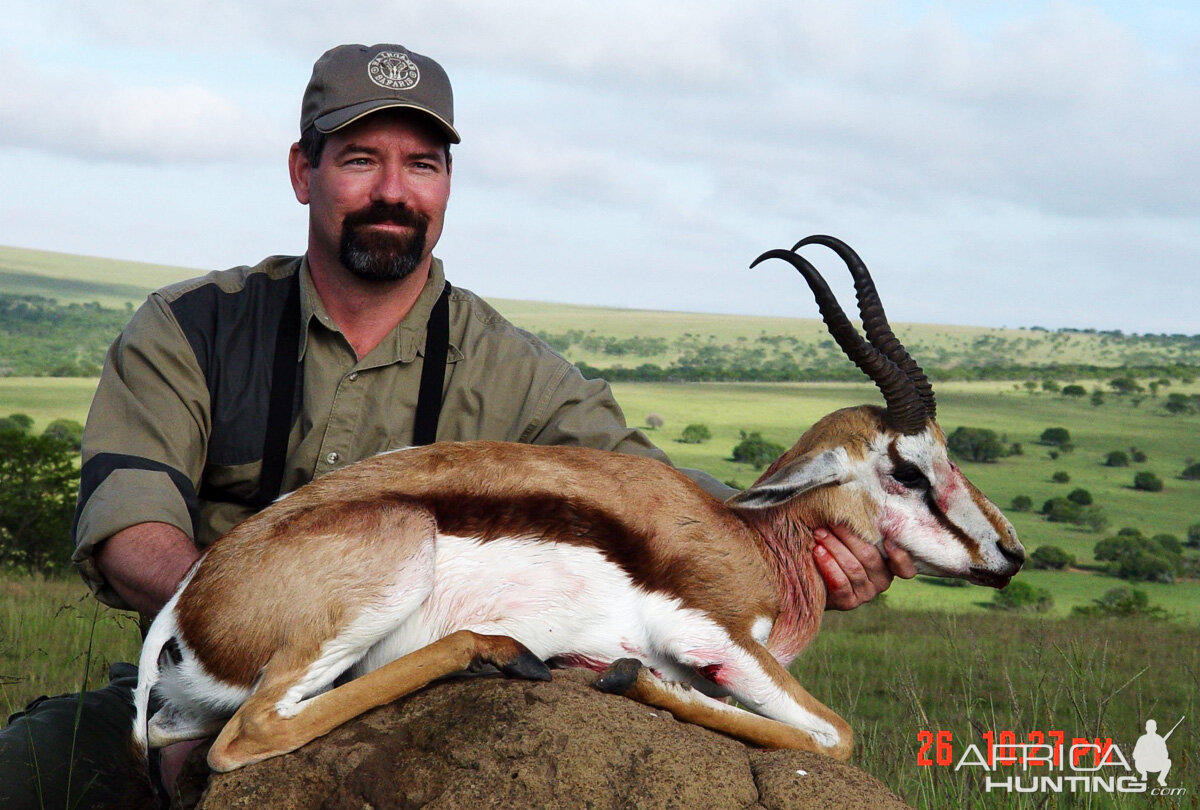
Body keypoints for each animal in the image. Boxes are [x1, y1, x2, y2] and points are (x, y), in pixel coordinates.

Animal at [131, 234, 1022, 777]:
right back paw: (506, 653)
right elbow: (835, 735)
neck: (751, 538)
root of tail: (188, 606)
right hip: (392, 562)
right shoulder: (715, 638)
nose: (1009, 555)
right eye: (909, 468)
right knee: (252, 732)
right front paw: (631, 679)